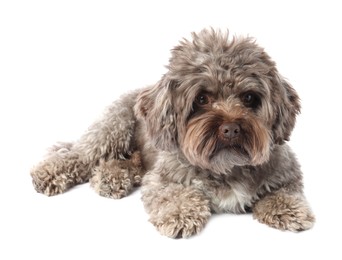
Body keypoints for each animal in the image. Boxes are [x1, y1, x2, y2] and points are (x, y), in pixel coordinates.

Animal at [31, 28, 316, 238]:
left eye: (249, 98)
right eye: (201, 98)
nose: (231, 128)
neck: (227, 167)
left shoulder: (287, 172)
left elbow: (284, 191)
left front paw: (289, 209)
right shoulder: (162, 178)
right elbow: (175, 194)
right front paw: (180, 213)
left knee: (129, 163)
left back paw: (112, 176)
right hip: (113, 129)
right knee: (79, 156)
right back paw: (51, 173)